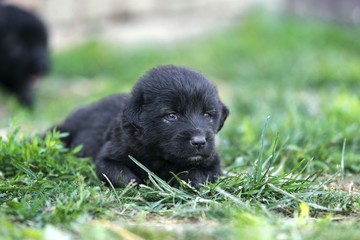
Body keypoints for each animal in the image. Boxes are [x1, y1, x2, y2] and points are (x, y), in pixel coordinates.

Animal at [56, 65, 231, 188]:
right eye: (171, 116)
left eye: (208, 114)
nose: (199, 142)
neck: (160, 156)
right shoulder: (108, 156)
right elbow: (120, 174)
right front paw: (138, 187)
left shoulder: (213, 162)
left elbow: (200, 173)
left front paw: (184, 182)